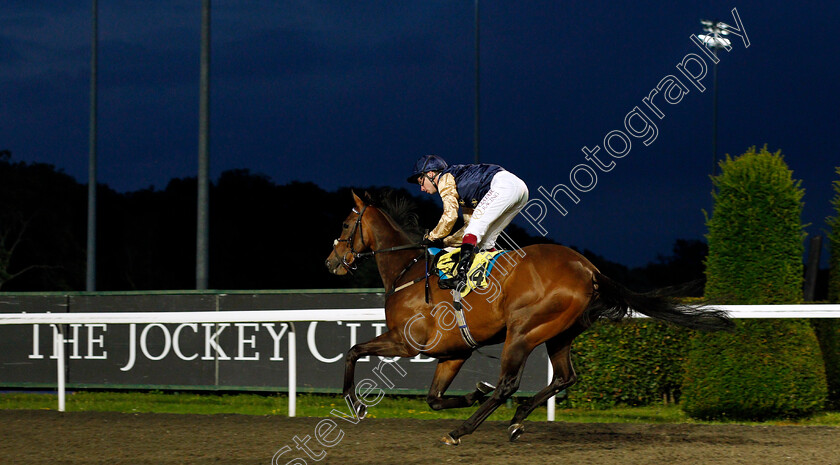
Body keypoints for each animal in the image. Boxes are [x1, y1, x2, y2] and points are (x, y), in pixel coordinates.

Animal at [324, 191, 732, 442]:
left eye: (344, 225)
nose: (331, 263)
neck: (407, 270)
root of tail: (588, 269)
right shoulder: (453, 352)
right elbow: (434, 398)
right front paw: (473, 392)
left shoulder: (407, 342)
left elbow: (353, 352)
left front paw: (356, 405)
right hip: (558, 332)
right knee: (565, 377)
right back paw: (517, 419)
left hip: (522, 330)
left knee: (509, 383)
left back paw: (461, 431)